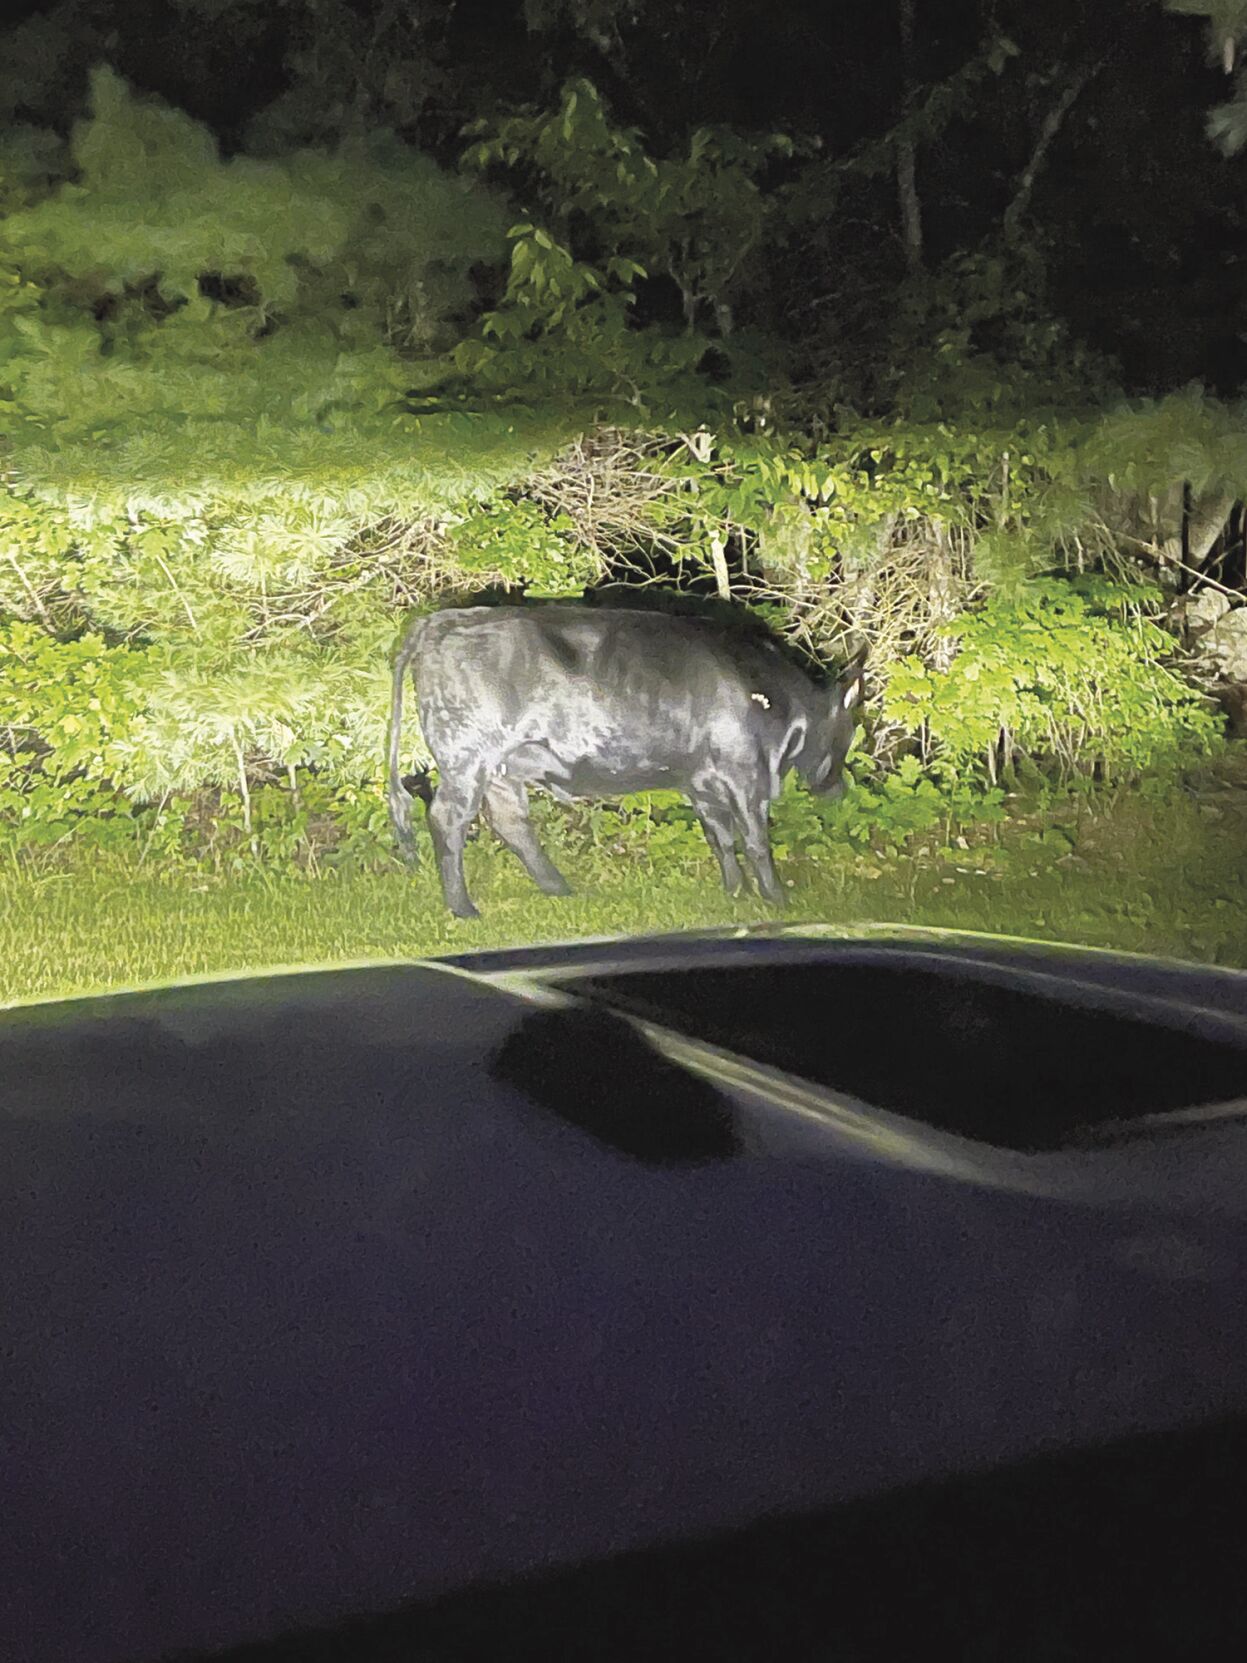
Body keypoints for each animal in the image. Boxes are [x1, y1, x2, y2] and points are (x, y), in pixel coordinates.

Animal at [387, 604, 865, 919]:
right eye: (849, 728)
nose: (839, 788)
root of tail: (440, 620)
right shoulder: (746, 774)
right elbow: (755, 840)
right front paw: (777, 899)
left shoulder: (702, 783)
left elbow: (721, 838)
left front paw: (735, 892)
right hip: (468, 757)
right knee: (448, 818)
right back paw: (464, 908)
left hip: (502, 766)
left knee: (510, 821)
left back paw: (560, 889)